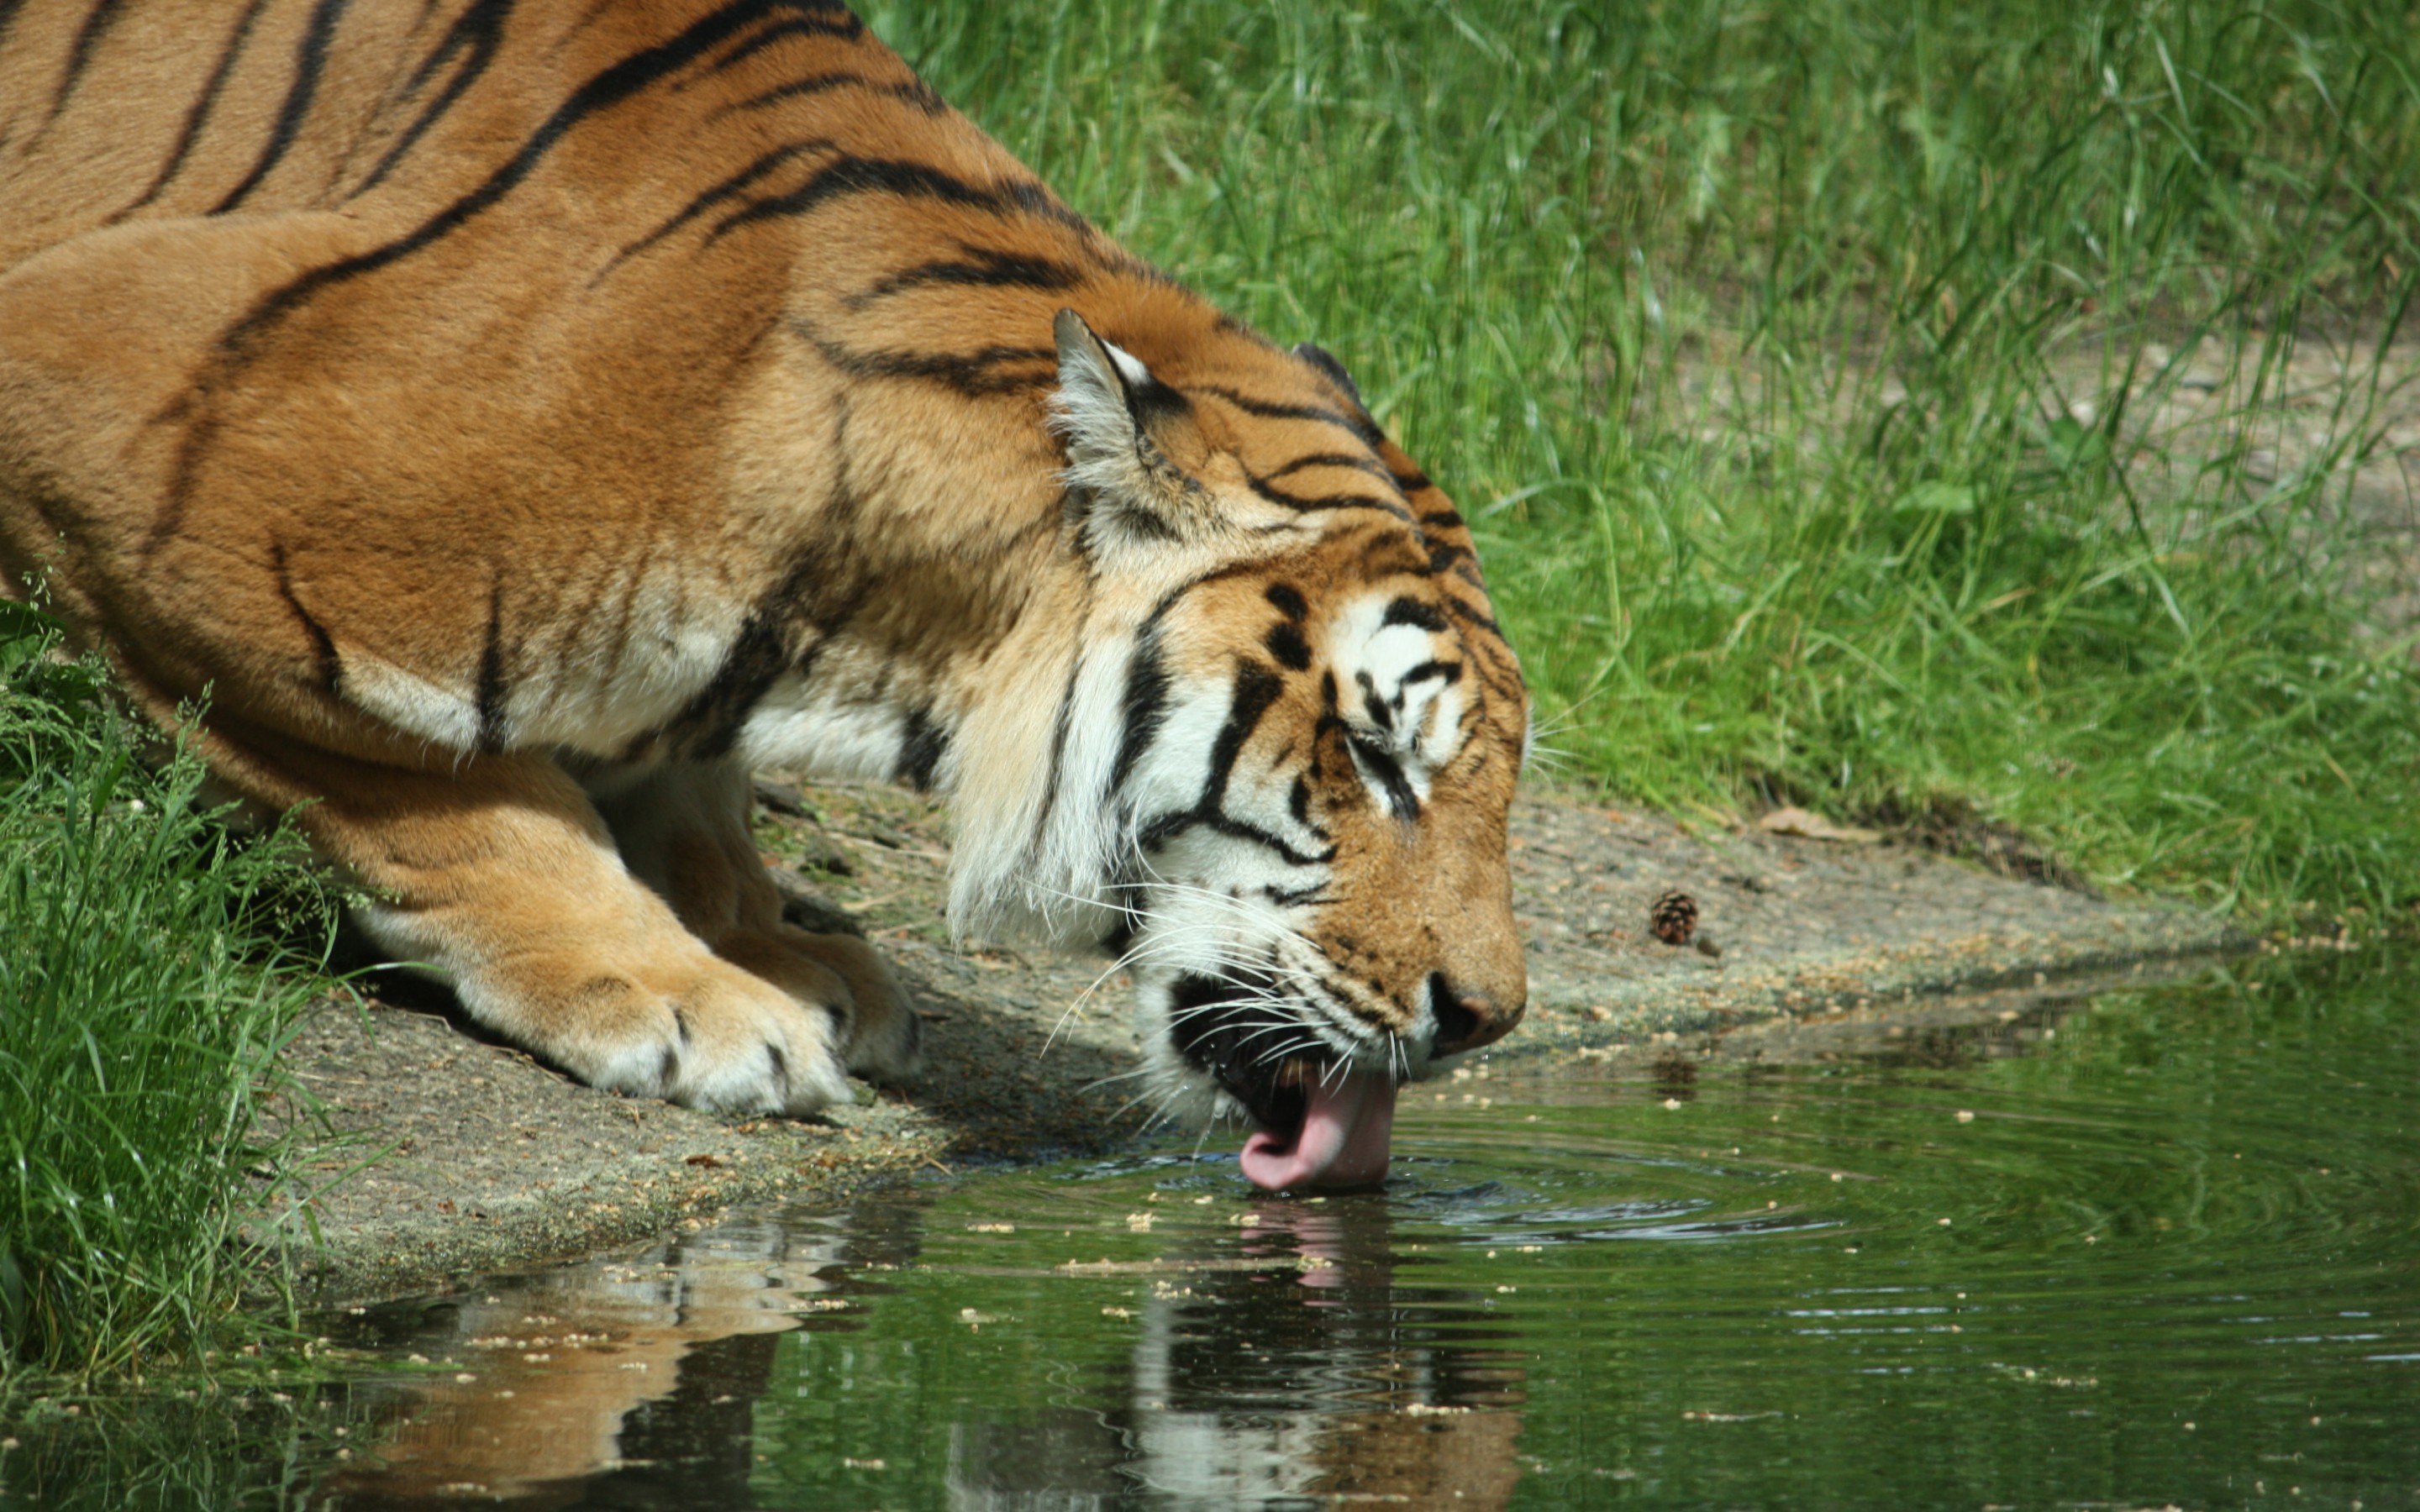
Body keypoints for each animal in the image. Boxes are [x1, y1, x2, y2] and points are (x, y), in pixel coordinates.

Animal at [0, 0, 1529, 1189]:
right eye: (1375, 754)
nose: (1491, 1021)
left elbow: (686, 781)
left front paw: (778, 944)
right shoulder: (124, 442)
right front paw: (690, 997)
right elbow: (458, 797)